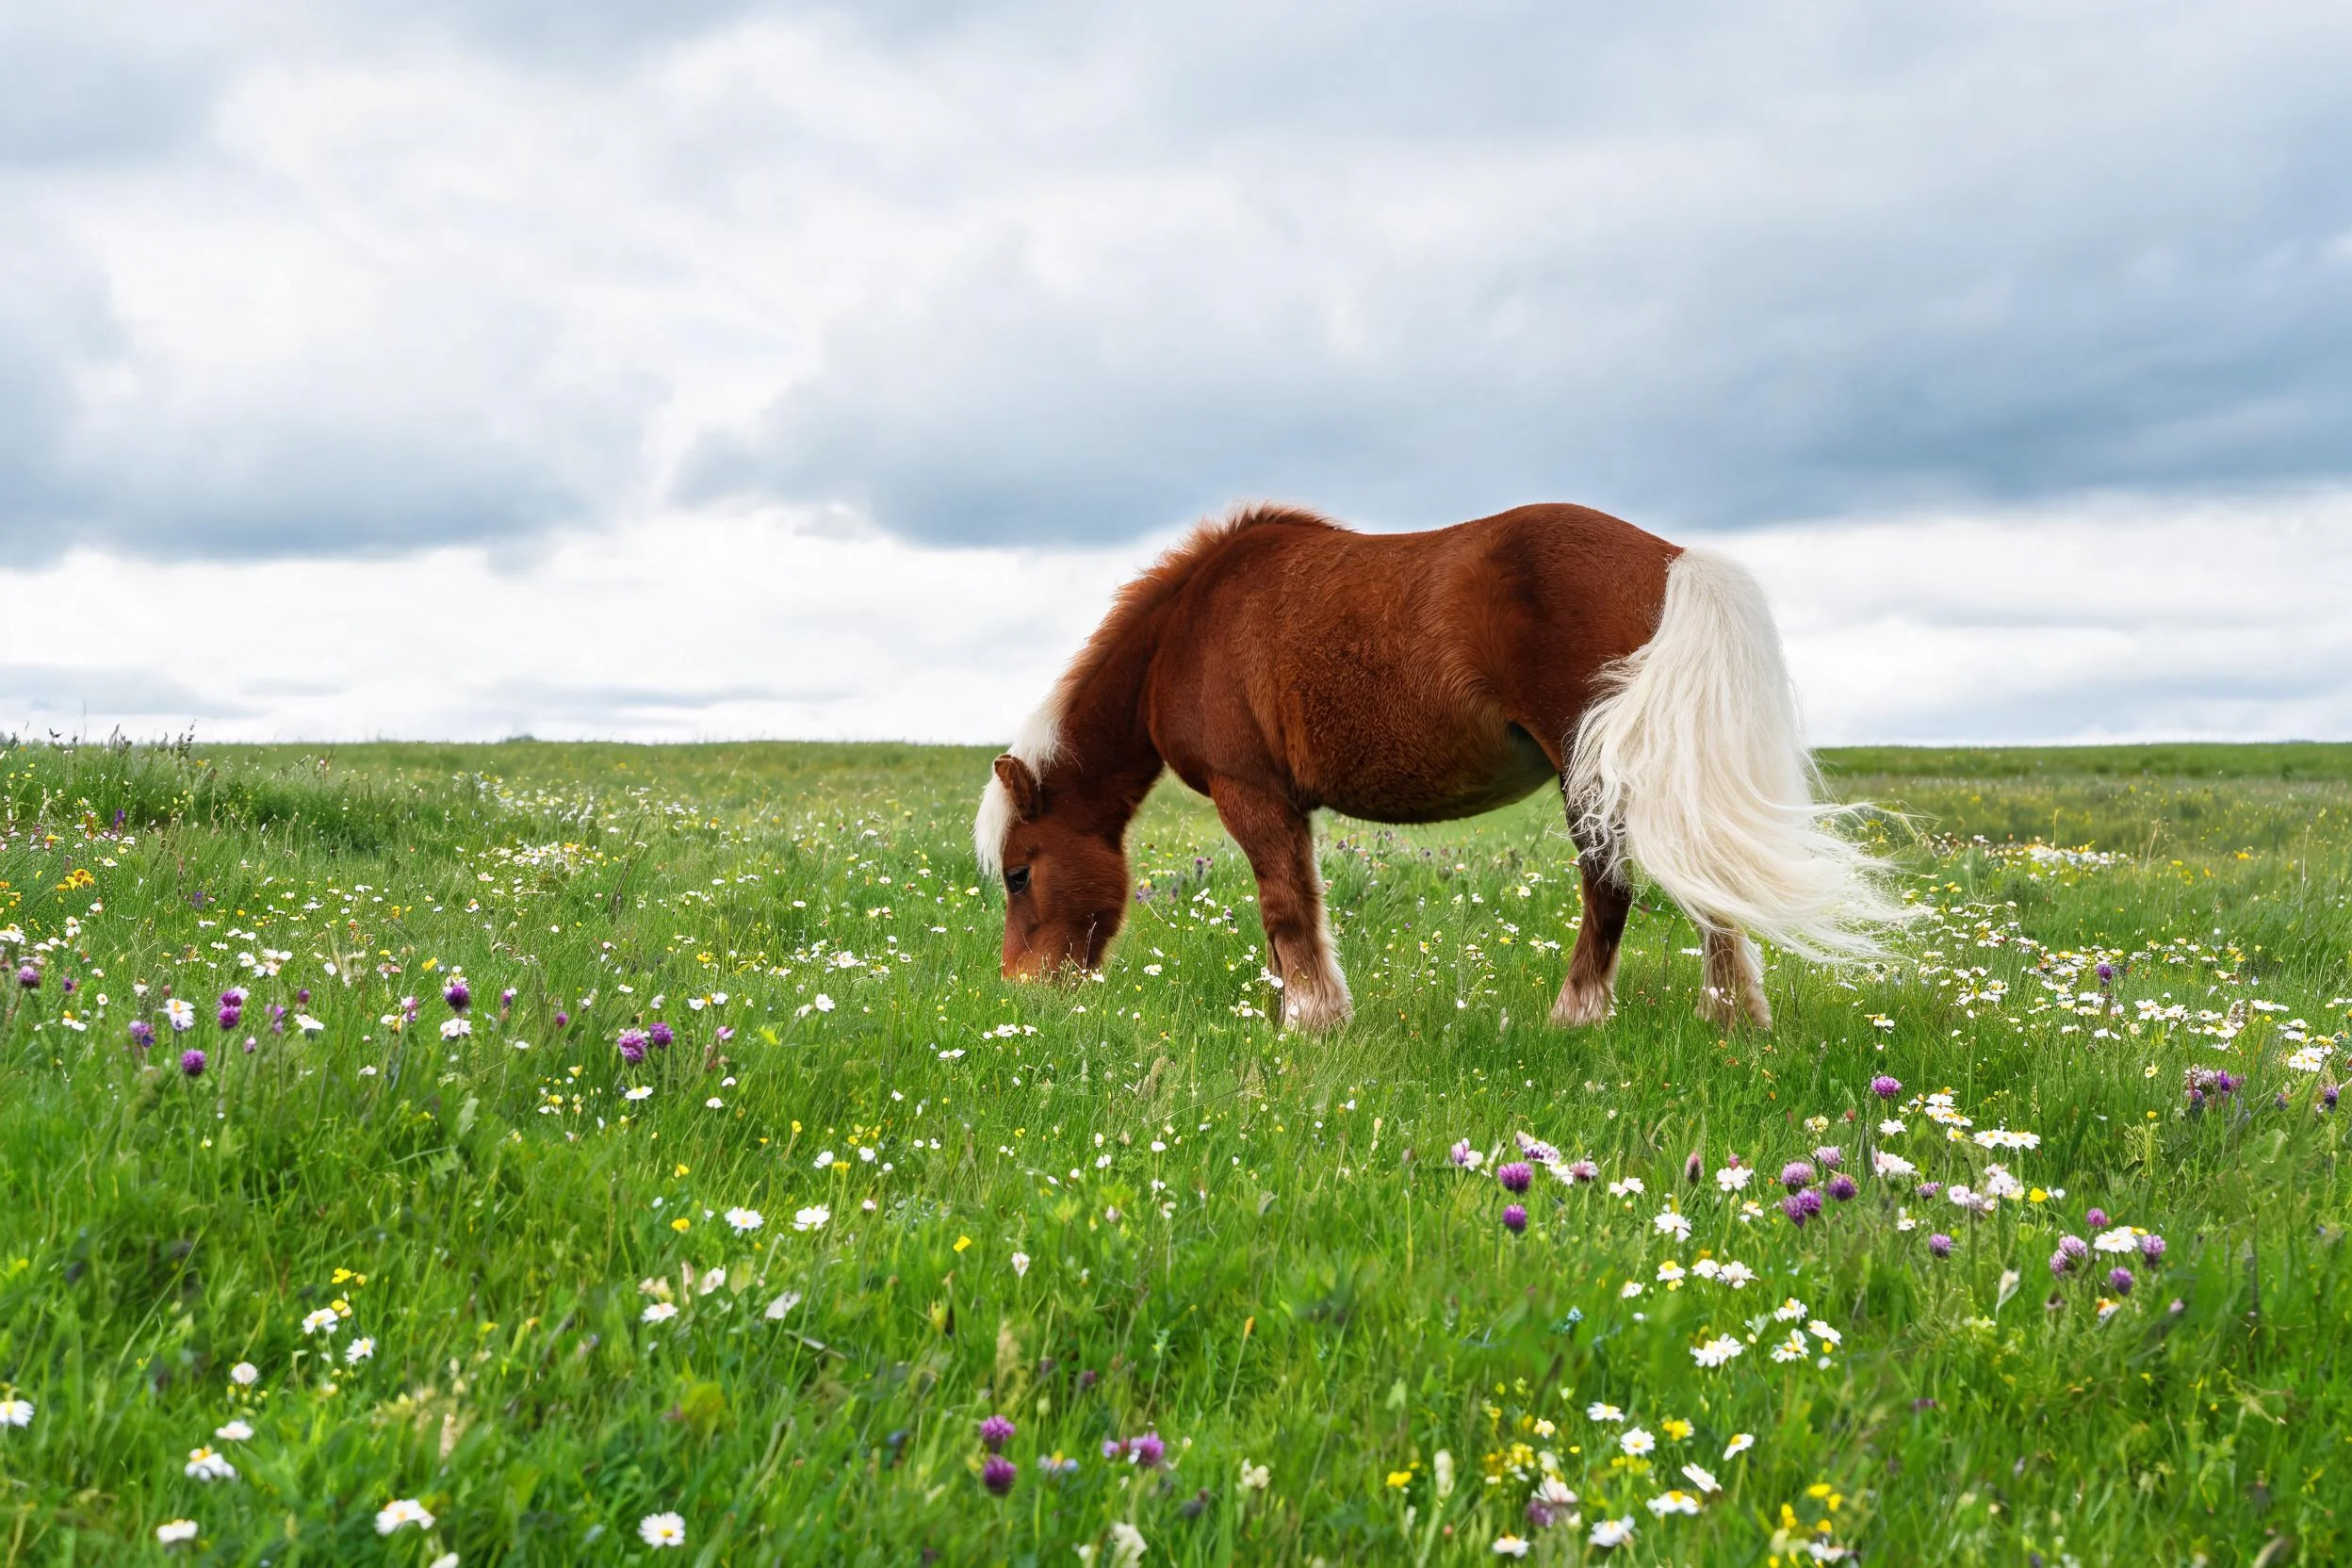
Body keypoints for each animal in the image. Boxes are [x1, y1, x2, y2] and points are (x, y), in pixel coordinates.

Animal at [975, 502, 1903, 1032]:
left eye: (1020, 874)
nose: (1021, 989)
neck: (1187, 627)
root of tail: (1671, 558)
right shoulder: (1286, 806)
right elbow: (1296, 909)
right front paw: (1287, 1009)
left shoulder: (1252, 793)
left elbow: (1285, 910)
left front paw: (1308, 1021)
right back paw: (1733, 1020)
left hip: (1589, 771)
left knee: (1609, 888)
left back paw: (1575, 1018)